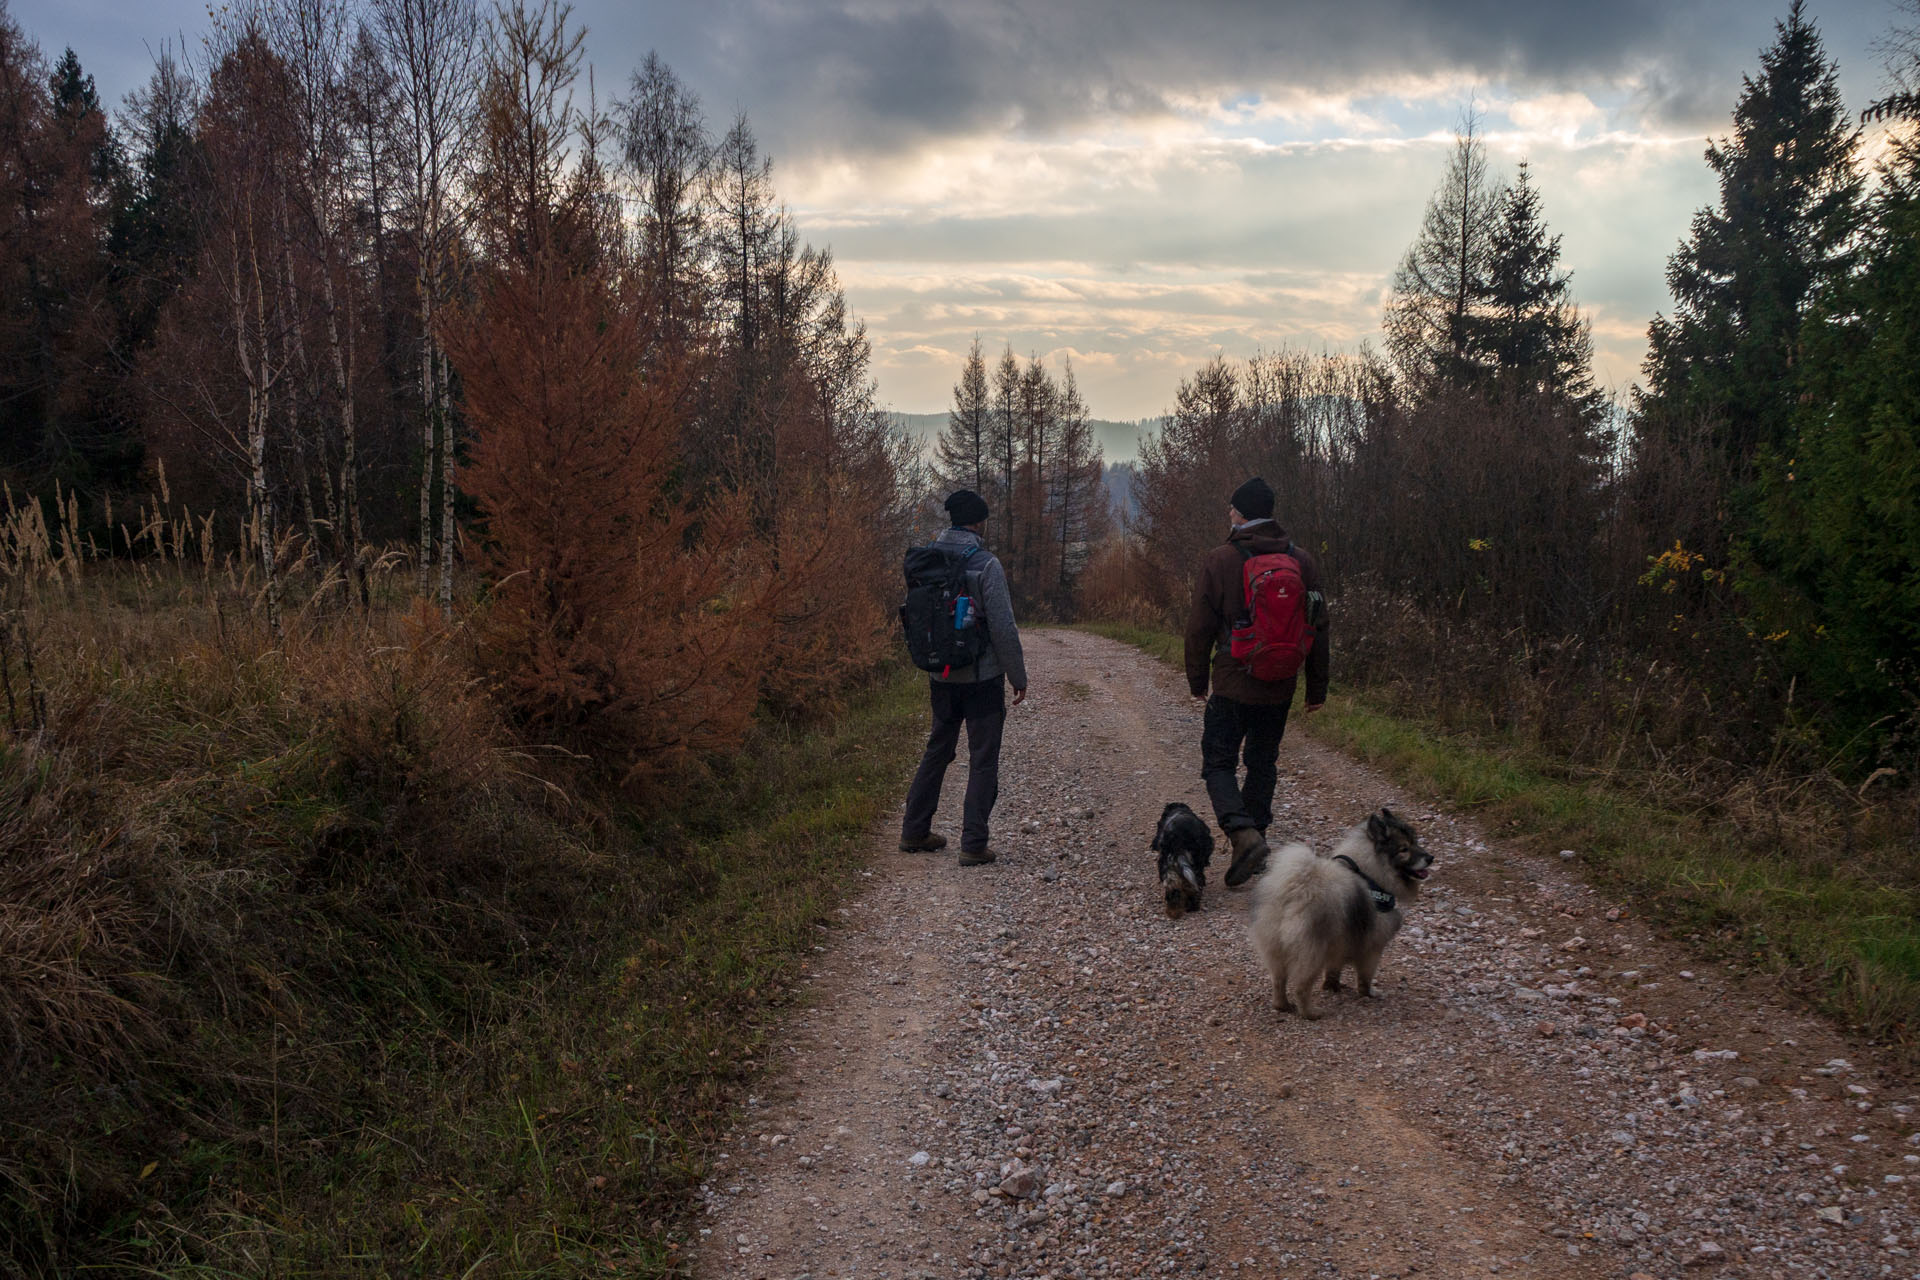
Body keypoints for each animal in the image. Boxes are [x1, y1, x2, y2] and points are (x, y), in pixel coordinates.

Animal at [1251, 809, 1436, 1020]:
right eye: (1404, 849)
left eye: (1415, 842)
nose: (1430, 857)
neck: (1371, 874)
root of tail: (1296, 891)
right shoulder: (1373, 947)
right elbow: (1365, 977)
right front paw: (1368, 993)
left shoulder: (1340, 942)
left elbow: (1334, 969)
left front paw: (1332, 986)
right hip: (1311, 953)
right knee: (1301, 987)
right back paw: (1310, 1013)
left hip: (1276, 948)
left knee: (1278, 980)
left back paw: (1282, 1005)